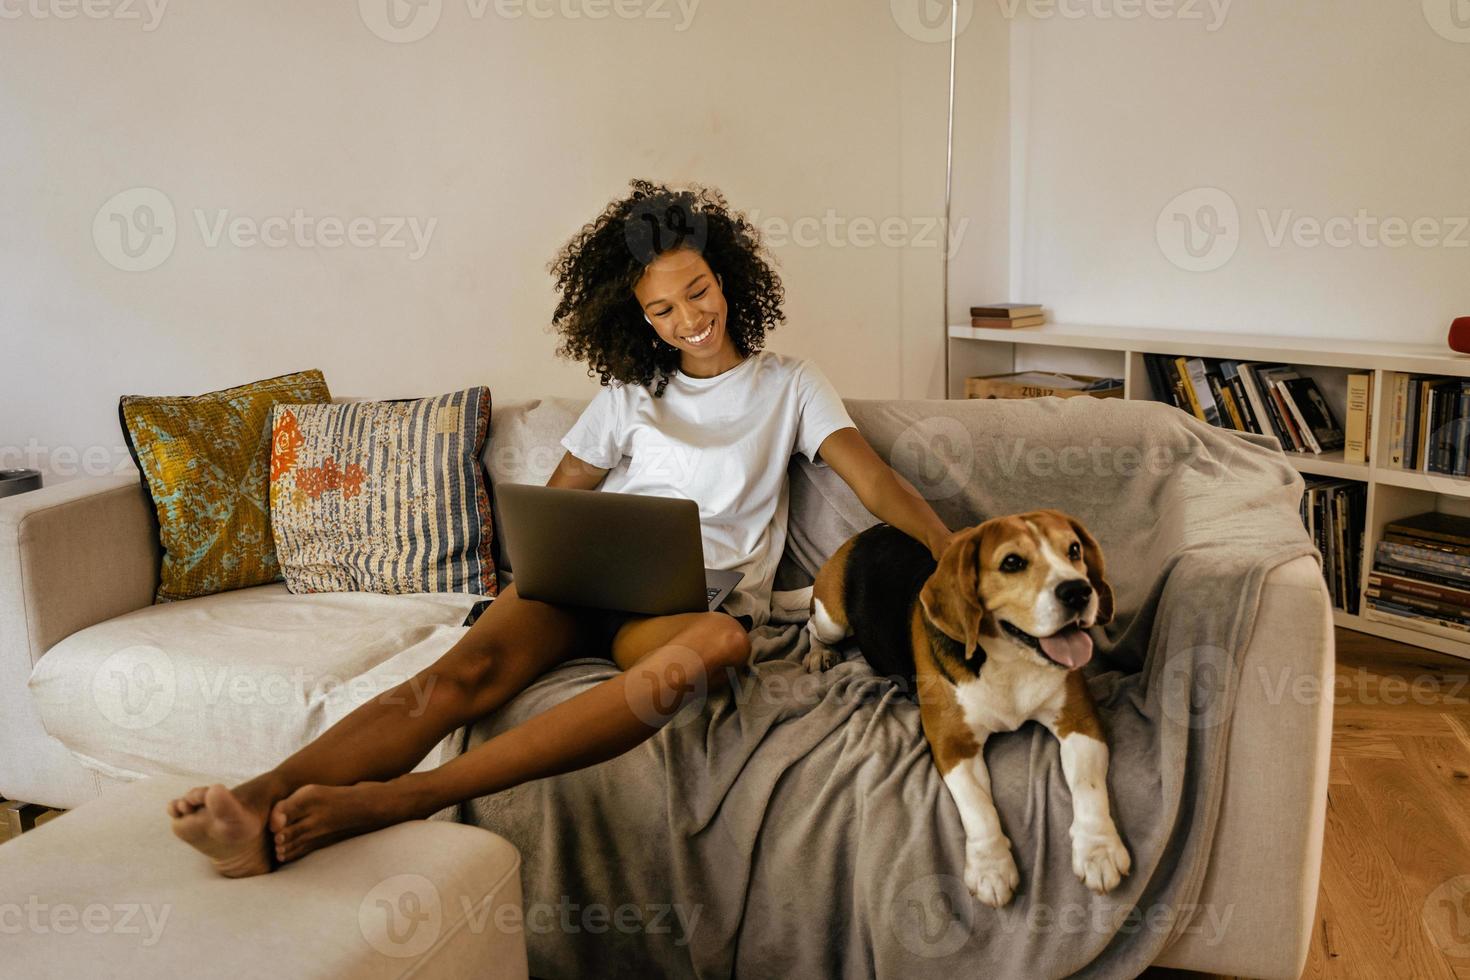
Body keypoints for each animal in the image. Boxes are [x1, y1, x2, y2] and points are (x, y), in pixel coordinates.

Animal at [805, 511, 1123, 910]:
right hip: (832, 619)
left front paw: (1099, 850)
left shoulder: (1079, 722)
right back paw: (818, 652)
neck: (1011, 660)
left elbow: (1088, 785)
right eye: (1012, 563)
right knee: (811, 624)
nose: (1079, 591)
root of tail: (866, 532)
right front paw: (991, 868)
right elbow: (977, 806)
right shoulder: (952, 744)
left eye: (1075, 550)